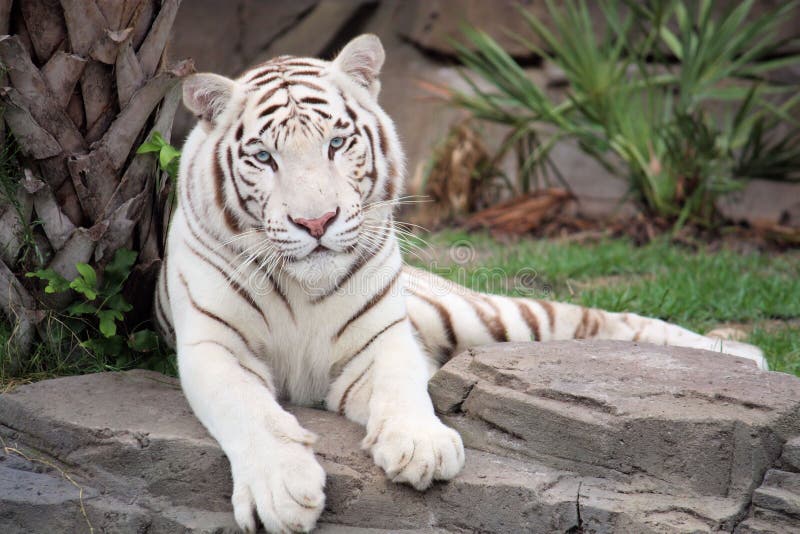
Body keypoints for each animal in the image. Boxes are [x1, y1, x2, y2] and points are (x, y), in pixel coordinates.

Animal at [155, 34, 764, 534]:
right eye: (264, 157)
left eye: (336, 144)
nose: (317, 222)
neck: (305, 289)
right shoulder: (213, 346)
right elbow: (249, 410)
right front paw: (281, 490)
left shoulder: (382, 338)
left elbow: (402, 384)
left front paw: (421, 445)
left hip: (483, 317)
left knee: (595, 319)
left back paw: (742, 355)